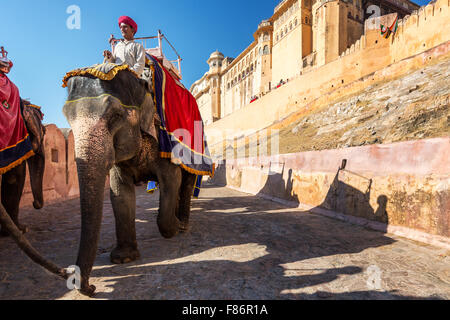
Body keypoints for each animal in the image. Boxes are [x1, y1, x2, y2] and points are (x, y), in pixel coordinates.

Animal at [61, 69, 197, 296]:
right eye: (67, 117)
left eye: (116, 115)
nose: (92, 287)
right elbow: (119, 192)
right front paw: (124, 258)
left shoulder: (163, 142)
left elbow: (171, 180)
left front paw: (173, 229)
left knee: (186, 183)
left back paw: (184, 224)